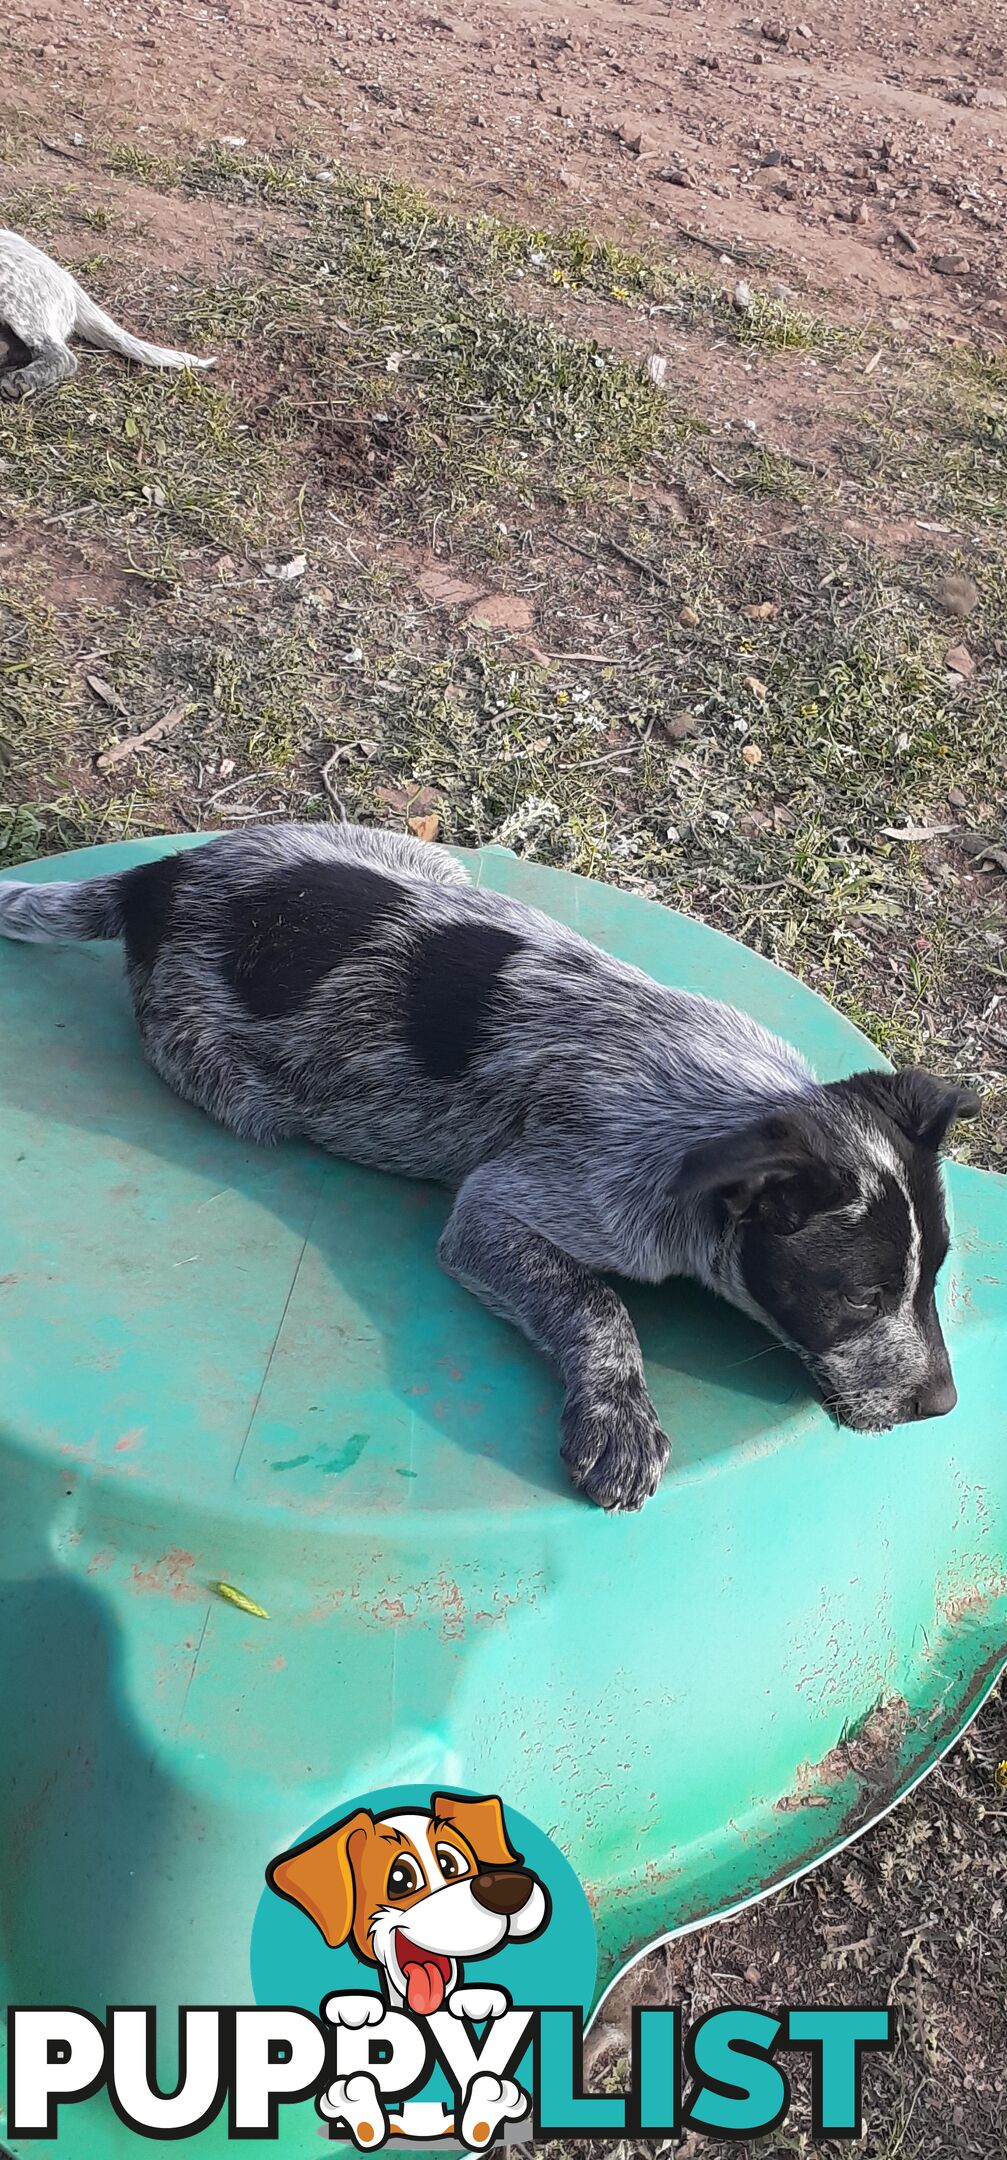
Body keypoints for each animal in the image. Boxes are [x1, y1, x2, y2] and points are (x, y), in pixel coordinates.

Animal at [0, 816, 976, 1512]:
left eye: (931, 1282)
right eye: (859, 1300)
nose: (943, 1407)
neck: (721, 1102)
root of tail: (161, 876)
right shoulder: (498, 1211)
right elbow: (598, 1306)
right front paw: (618, 1420)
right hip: (221, 1076)